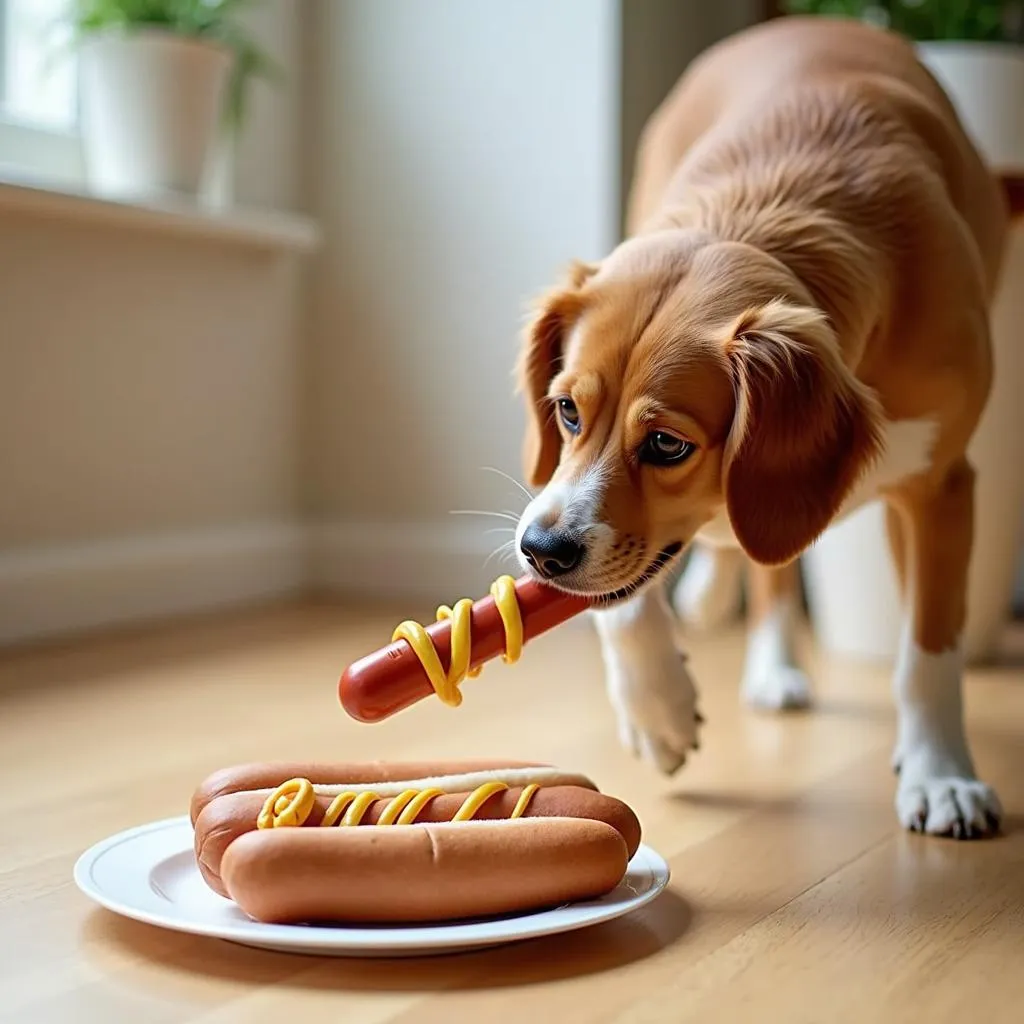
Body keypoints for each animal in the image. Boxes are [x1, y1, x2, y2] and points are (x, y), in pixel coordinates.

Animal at [512, 16, 1007, 835]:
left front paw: (940, 775)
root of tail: (807, 18)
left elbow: (928, 650)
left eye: (667, 444)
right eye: (568, 411)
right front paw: (659, 712)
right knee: (764, 562)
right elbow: (622, 599)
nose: (540, 553)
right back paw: (757, 649)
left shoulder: (944, 485)